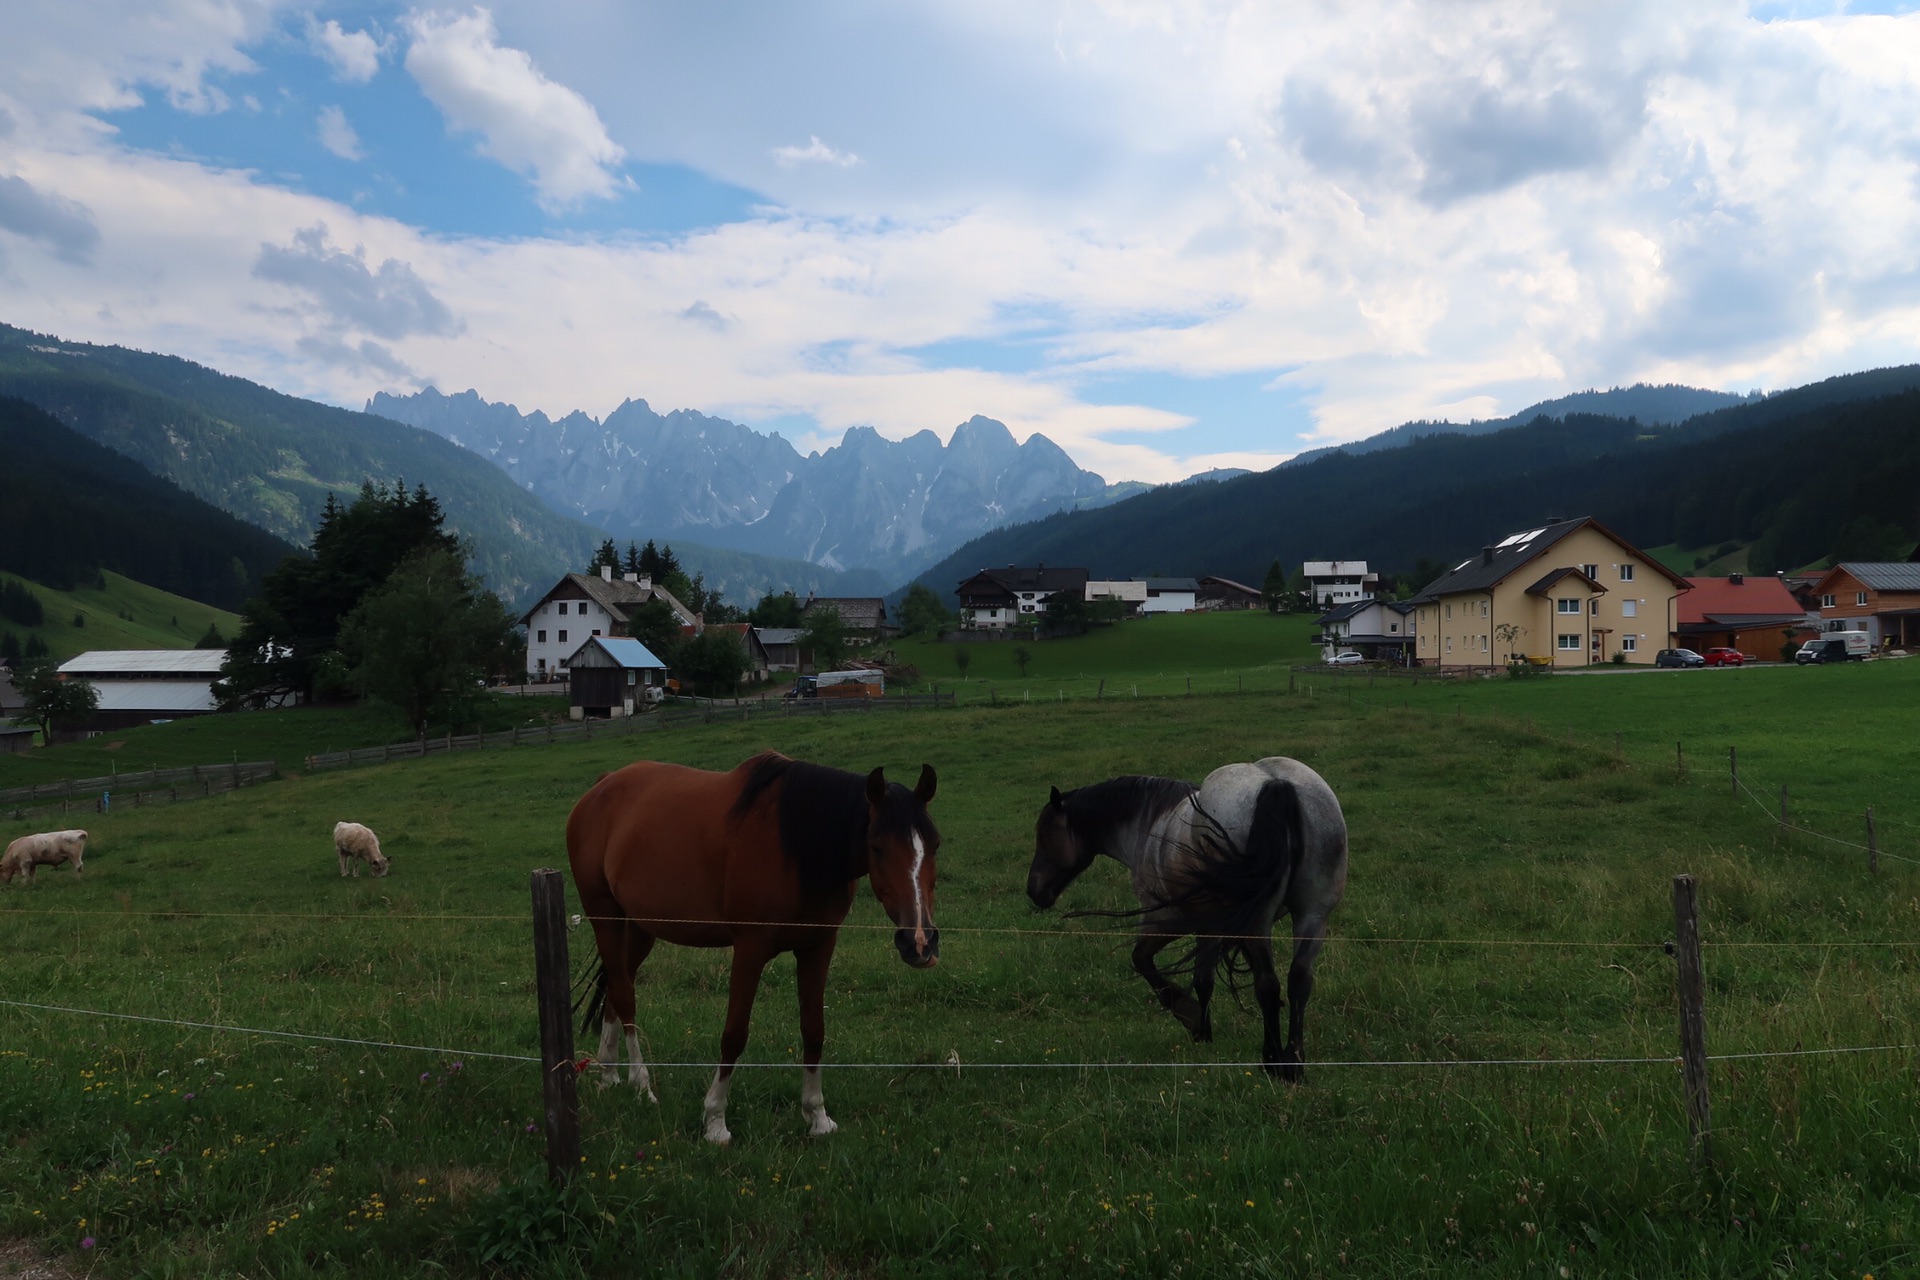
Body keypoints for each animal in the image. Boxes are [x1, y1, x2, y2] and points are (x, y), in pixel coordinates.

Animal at [560, 752, 936, 1143]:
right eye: (876, 845)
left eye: (935, 844)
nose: (919, 941)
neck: (796, 844)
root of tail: (601, 787)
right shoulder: (750, 949)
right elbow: (734, 1034)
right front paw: (715, 1121)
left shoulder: (818, 947)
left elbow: (814, 1029)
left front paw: (817, 1116)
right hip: (604, 915)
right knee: (624, 994)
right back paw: (641, 1084)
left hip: (638, 927)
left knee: (618, 988)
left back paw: (609, 1073)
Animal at [1036, 759, 1351, 1082]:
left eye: (1044, 836)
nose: (1034, 891)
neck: (1148, 823)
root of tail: (1276, 783)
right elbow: (1206, 978)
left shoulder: (1174, 921)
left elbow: (1156, 965)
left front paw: (1194, 1021)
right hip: (1312, 916)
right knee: (1299, 979)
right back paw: (1293, 1062)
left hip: (1258, 922)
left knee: (1267, 984)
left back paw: (1274, 1061)